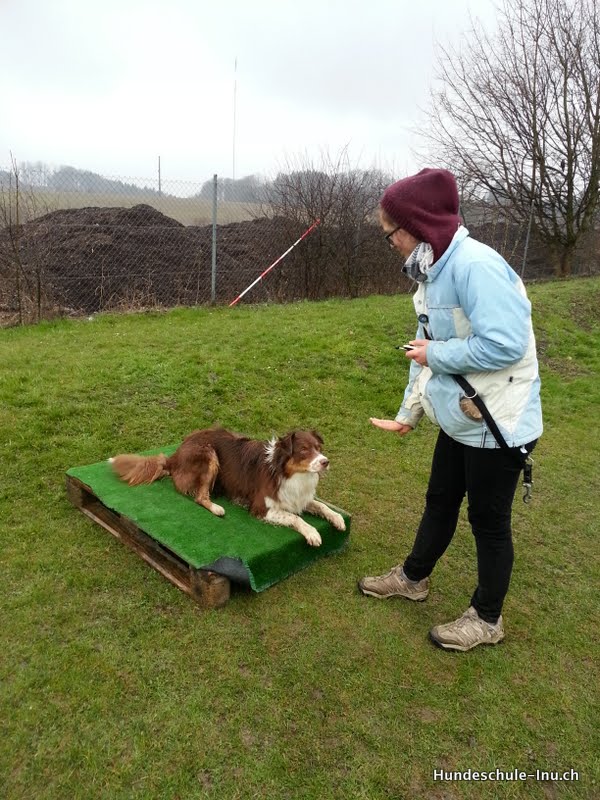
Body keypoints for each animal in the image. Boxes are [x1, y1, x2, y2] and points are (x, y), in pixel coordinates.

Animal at [109, 427, 346, 546]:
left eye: (318, 448)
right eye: (304, 450)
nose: (326, 462)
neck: (290, 474)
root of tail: (174, 456)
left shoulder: (298, 497)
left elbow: (322, 506)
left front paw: (338, 519)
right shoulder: (261, 508)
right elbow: (295, 518)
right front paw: (312, 532)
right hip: (208, 454)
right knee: (200, 497)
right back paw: (217, 508)